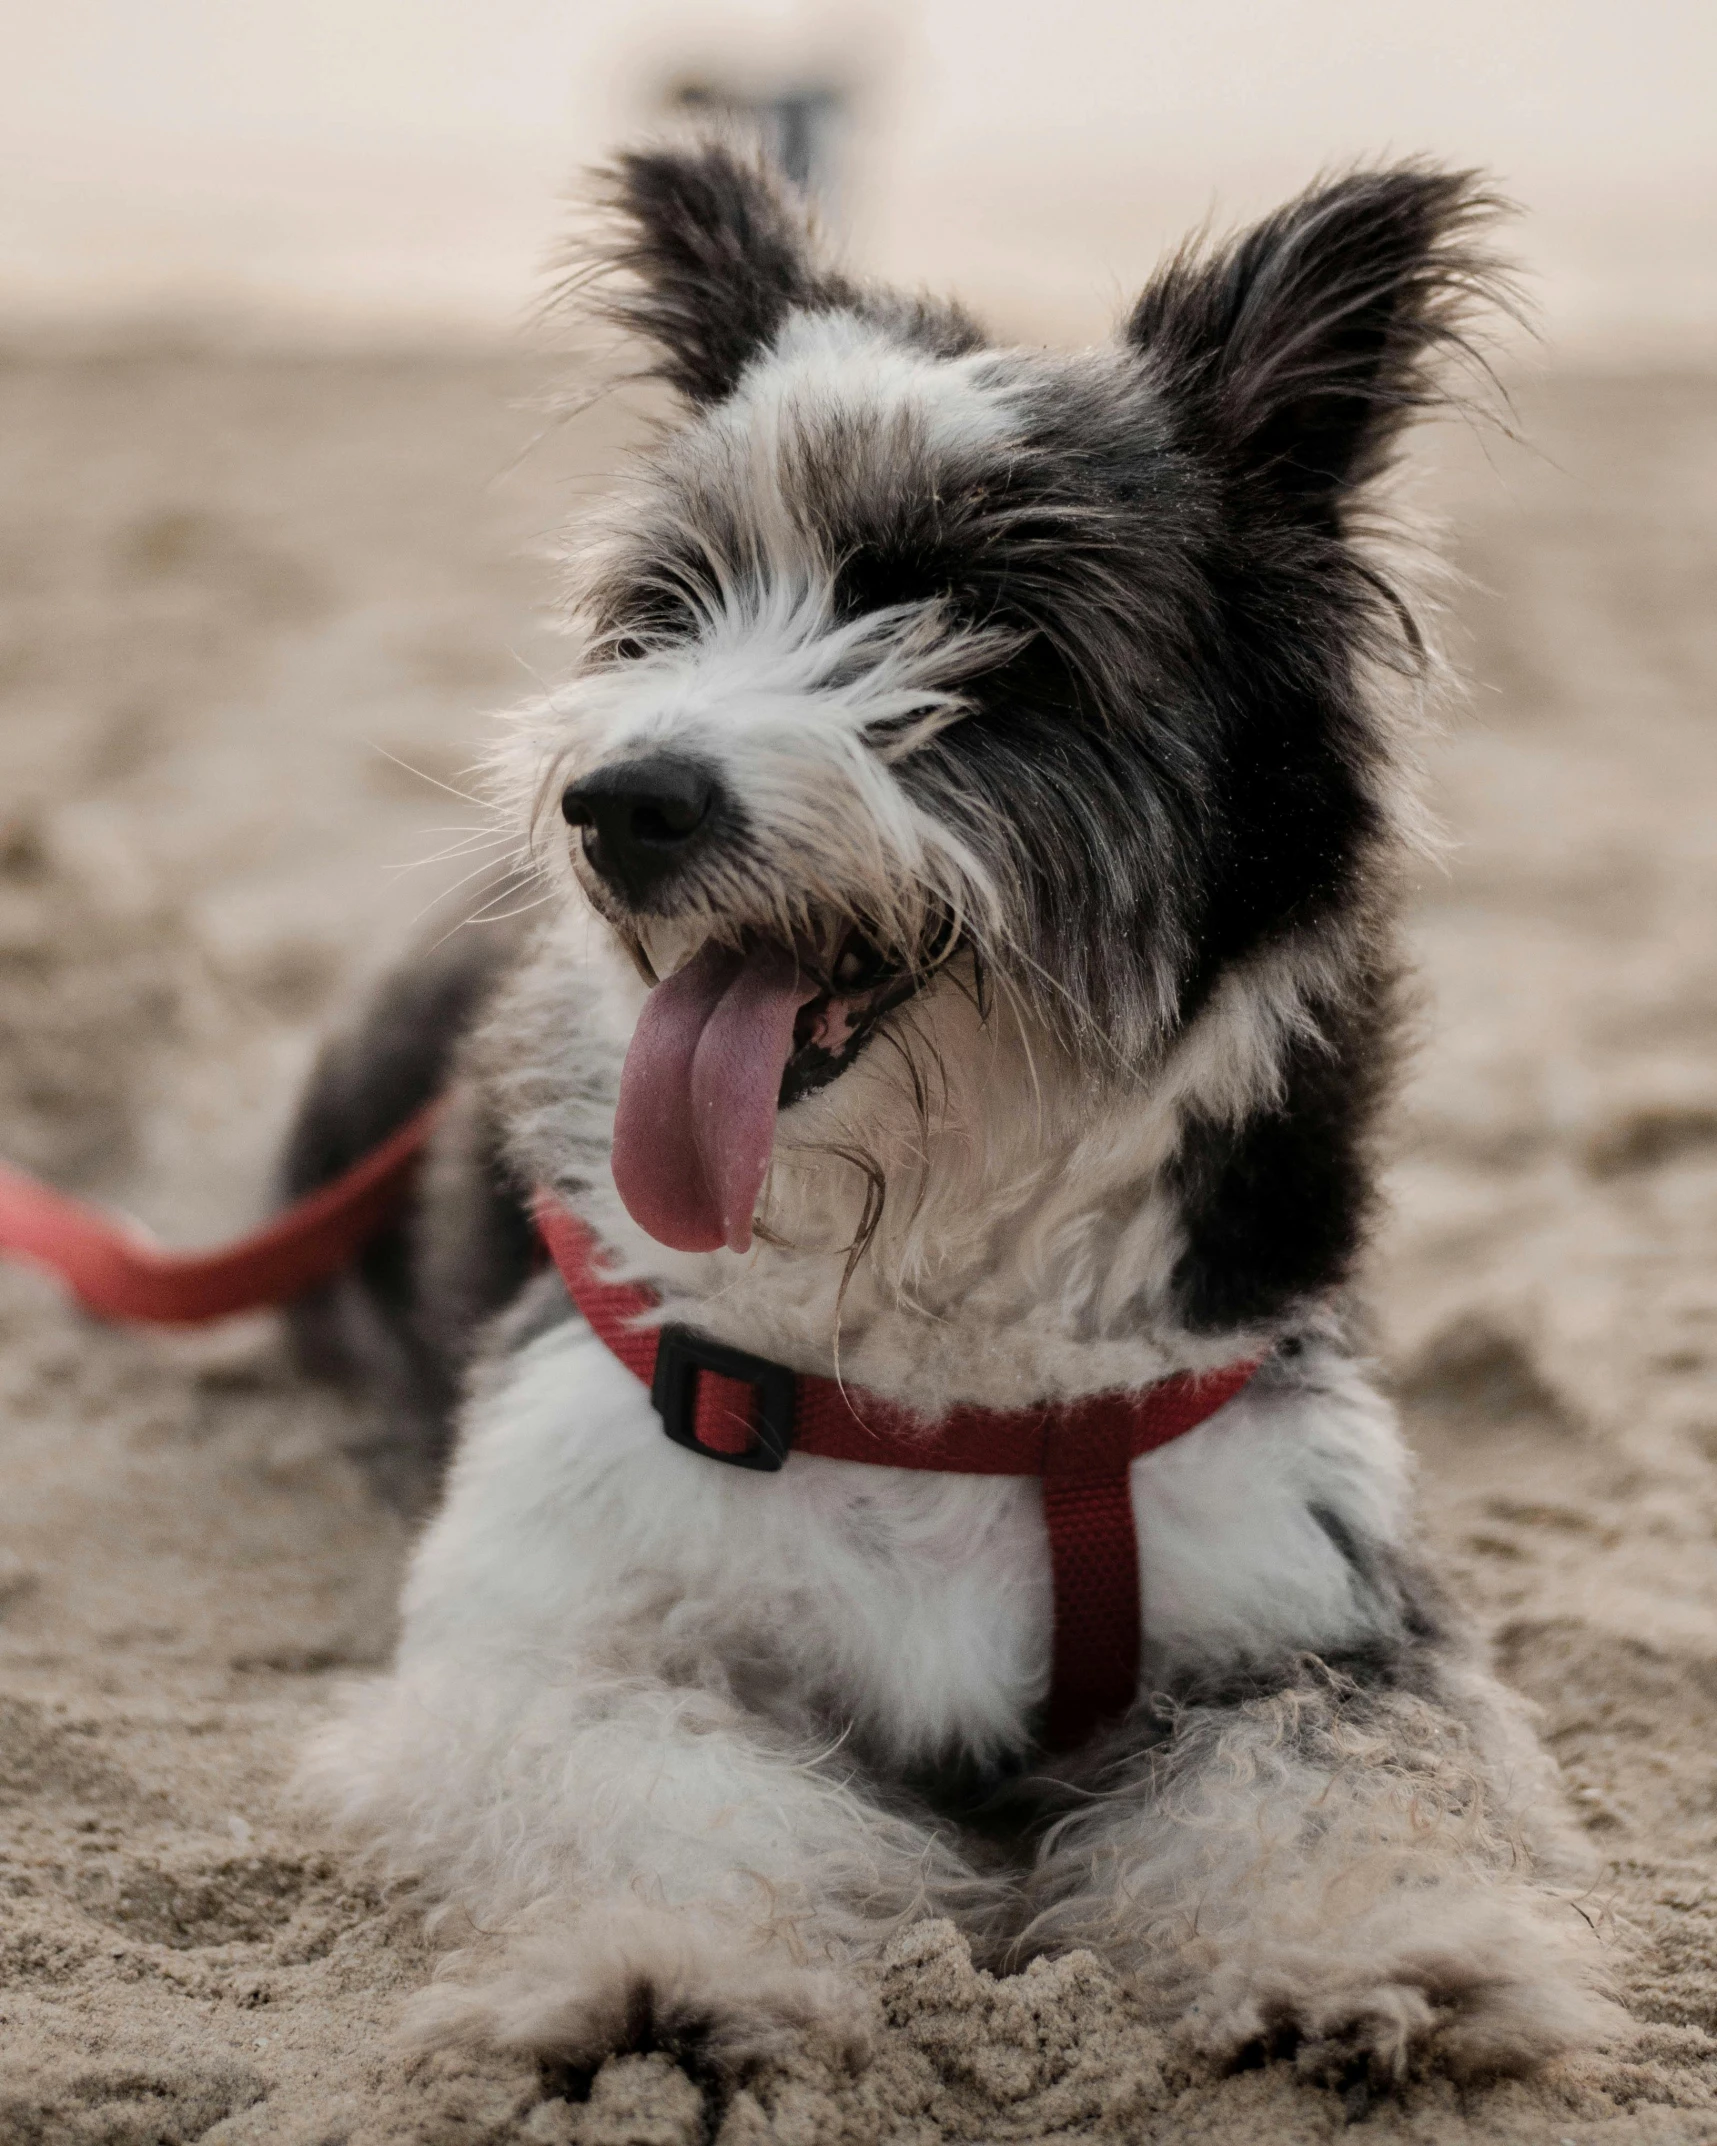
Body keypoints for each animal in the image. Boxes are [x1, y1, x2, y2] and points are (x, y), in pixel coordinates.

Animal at [287, 134, 1613, 2094]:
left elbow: (1343, 1775)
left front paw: (1385, 1955)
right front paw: (661, 1972)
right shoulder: (545, 1628)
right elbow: (651, 1788)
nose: (621, 802)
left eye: (988, 634)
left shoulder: (1322, 1606)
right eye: (666, 609)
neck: (911, 1302)